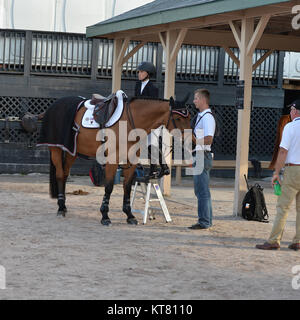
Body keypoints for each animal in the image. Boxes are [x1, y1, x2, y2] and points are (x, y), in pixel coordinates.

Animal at [37, 94, 193, 226]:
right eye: (178, 118)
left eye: (189, 116)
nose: (192, 141)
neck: (129, 122)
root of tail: (53, 106)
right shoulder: (112, 160)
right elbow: (109, 187)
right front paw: (105, 215)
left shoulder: (132, 161)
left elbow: (127, 186)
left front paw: (129, 215)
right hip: (56, 150)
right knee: (59, 175)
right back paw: (61, 208)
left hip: (71, 152)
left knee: (64, 174)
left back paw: (63, 206)